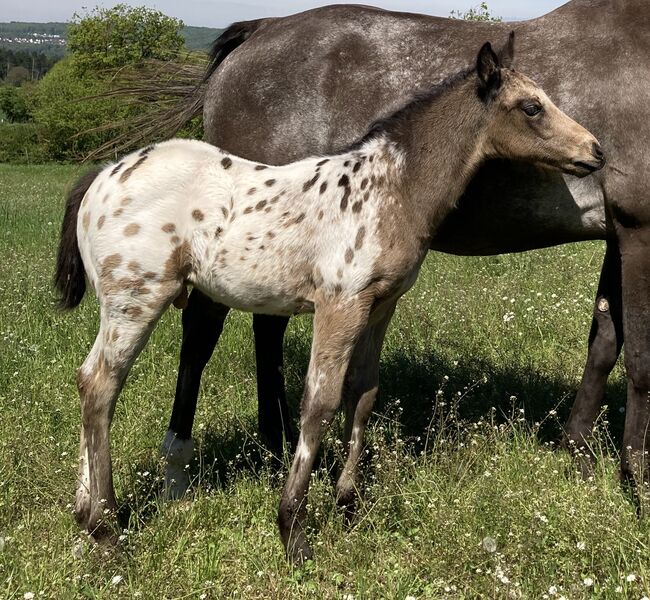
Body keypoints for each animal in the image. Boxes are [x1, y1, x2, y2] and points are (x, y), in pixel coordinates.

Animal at [55, 36, 604, 564]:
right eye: (531, 107)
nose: (596, 151)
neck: (390, 187)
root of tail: (103, 176)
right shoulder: (340, 304)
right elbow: (319, 402)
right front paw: (292, 529)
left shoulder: (380, 306)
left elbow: (362, 395)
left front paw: (347, 505)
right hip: (137, 299)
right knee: (100, 385)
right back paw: (104, 530)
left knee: (88, 381)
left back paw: (84, 515)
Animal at [158, 0, 648, 492]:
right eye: (532, 107)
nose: (595, 151)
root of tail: (261, 30)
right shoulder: (639, 231)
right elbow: (640, 360)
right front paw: (635, 475)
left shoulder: (618, 235)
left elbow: (605, 345)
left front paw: (578, 455)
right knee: (201, 330)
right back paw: (178, 465)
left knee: (265, 328)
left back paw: (276, 446)